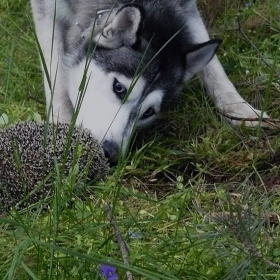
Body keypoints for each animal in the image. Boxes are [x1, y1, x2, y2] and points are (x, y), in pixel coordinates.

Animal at [29, 0, 268, 163]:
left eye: (148, 113)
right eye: (119, 88)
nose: (110, 154)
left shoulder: (186, 7)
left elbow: (212, 65)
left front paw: (239, 110)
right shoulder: (46, 9)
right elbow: (55, 70)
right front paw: (60, 128)